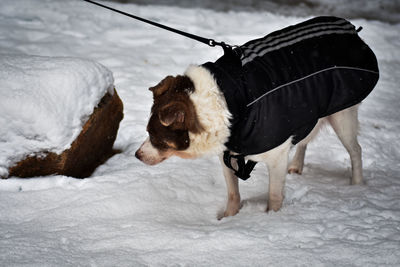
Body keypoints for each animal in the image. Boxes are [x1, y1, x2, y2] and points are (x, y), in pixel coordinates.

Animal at [134, 15, 378, 219]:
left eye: (154, 135)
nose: (136, 155)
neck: (227, 102)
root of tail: (351, 29)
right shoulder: (228, 153)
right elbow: (233, 194)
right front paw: (228, 219)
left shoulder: (276, 156)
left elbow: (274, 196)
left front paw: (269, 220)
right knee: (305, 139)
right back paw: (297, 165)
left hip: (343, 114)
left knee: (355, 150)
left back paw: (357, 184)